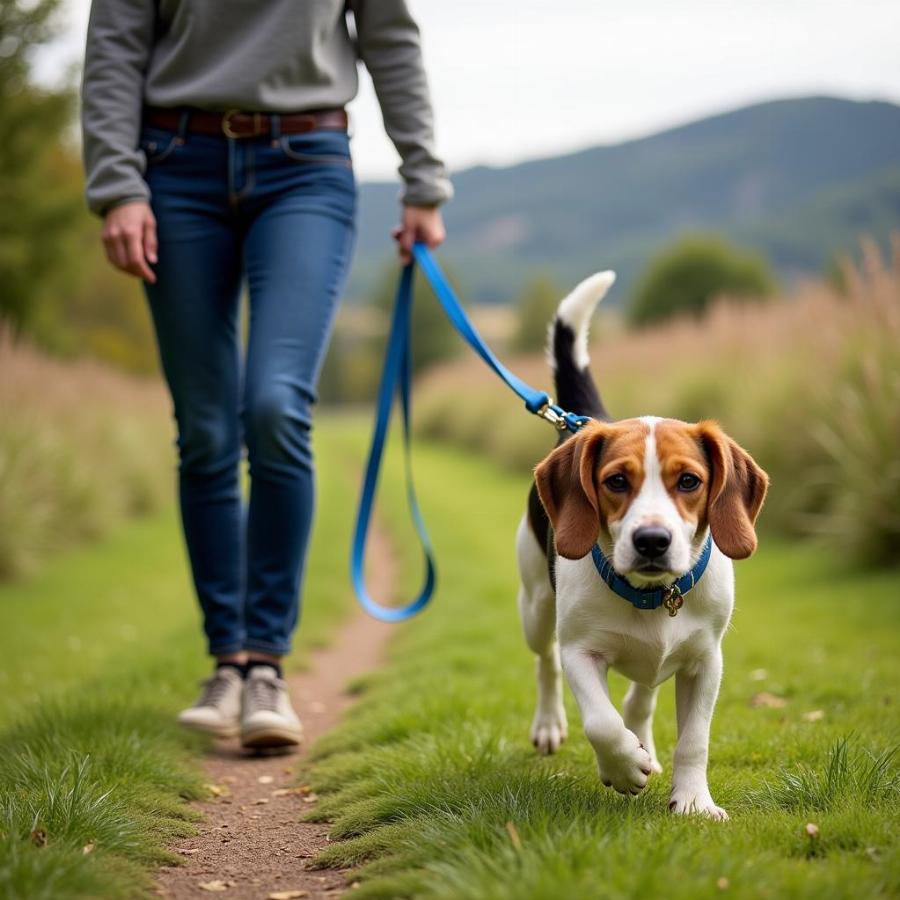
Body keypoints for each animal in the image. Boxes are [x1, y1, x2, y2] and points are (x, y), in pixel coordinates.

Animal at [520, 270, 768, 820]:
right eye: (616, 481)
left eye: (689, 481)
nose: (652, 541)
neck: (653, 594)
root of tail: (586, 420)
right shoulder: (580, 651)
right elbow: (600, 722)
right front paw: (623, 767)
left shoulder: (706, 661)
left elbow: (693, 739)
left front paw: (693, 801)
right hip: (535, 607)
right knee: (545, 663)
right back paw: (550, 724)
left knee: (640, 696)